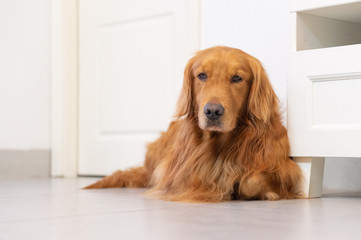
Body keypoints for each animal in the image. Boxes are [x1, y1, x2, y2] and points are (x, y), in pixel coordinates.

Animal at [84, 46, 300, 202]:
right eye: (202, 75)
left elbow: (252, 179)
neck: (221, 144)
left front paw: (264, 192)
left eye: (237, 78)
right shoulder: (180, 171)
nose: (212, 111)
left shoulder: (285, 167)